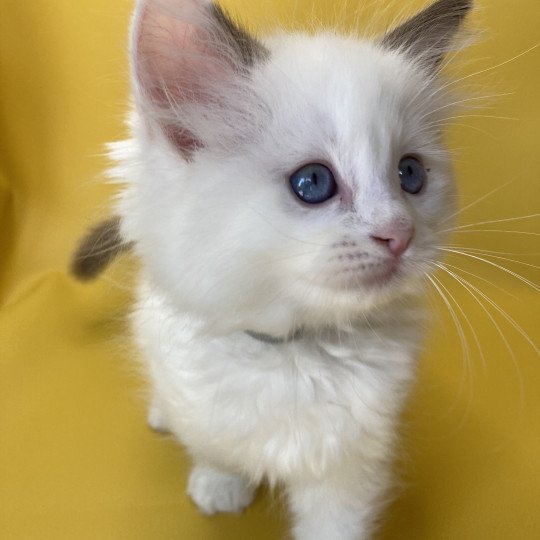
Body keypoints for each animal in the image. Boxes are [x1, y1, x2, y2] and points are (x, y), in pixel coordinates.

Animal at [73, 1, 472, 540]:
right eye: (313, 182)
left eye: (410, 175)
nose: (399, 234)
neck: (291, 349)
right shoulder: (195, 388)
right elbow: (212, 441)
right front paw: (220, 485)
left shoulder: (353, 458)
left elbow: (334, 524)